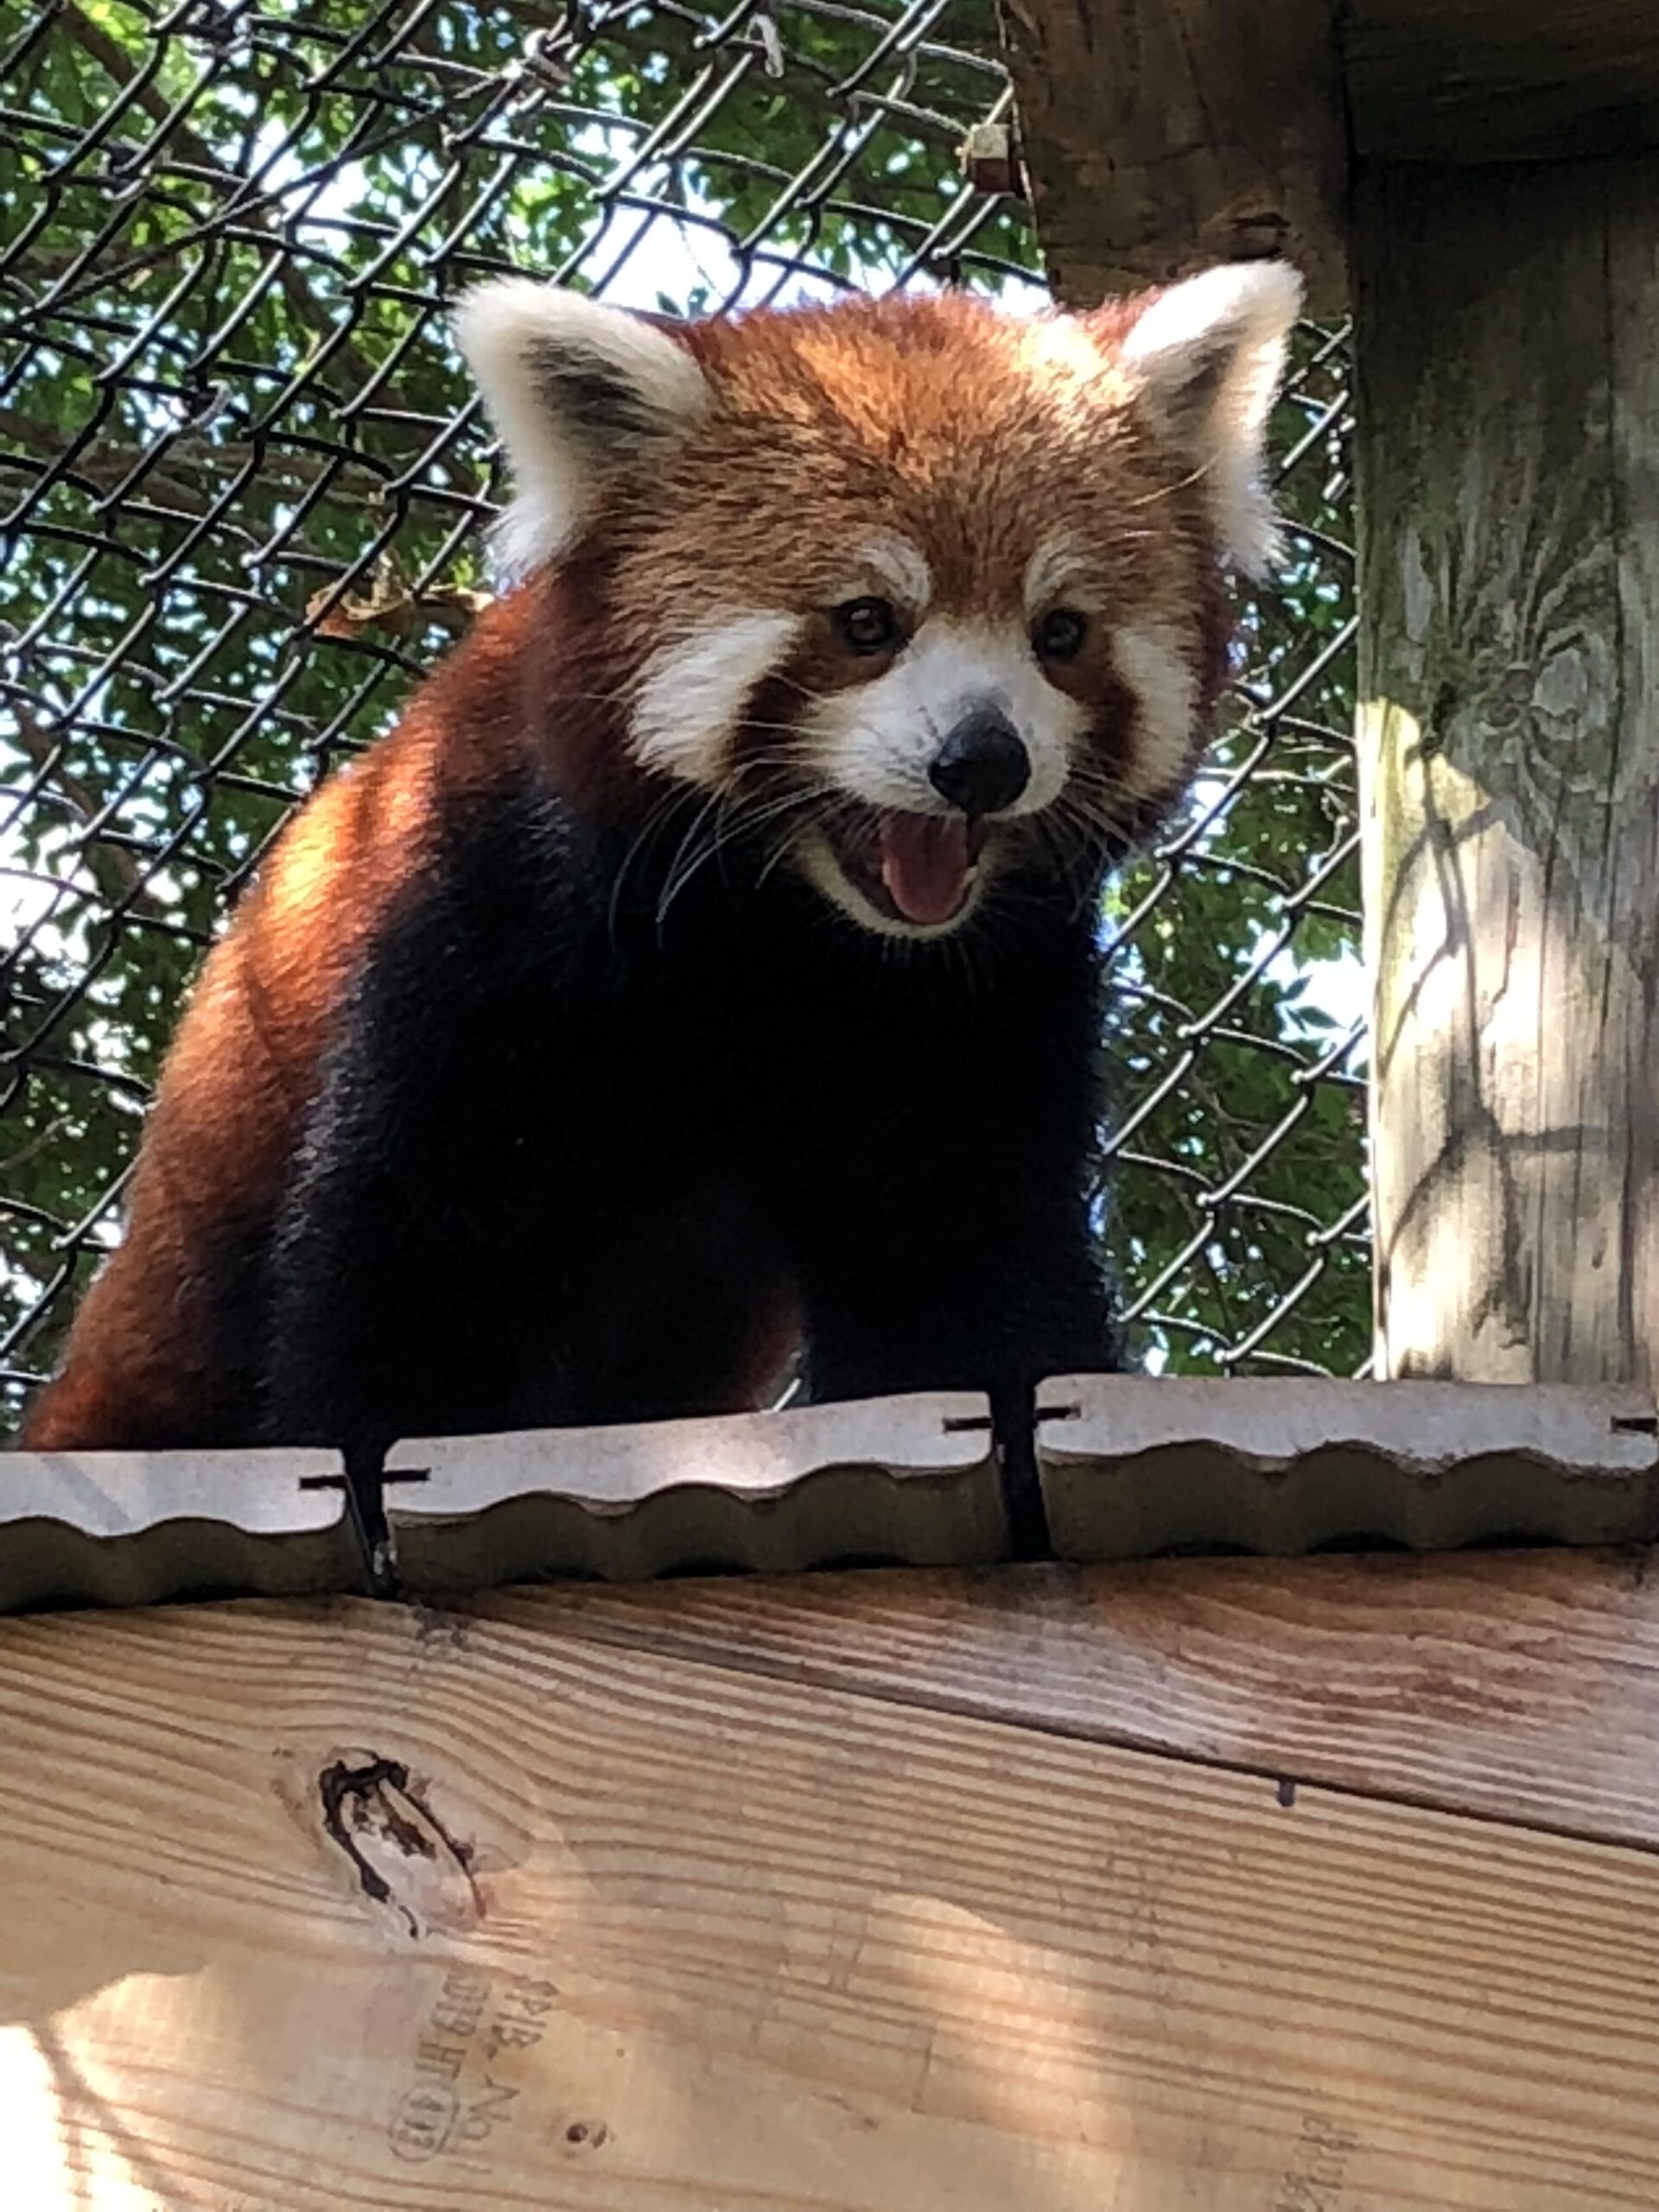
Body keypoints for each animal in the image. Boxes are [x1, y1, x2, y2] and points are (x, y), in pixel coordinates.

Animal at [19, 258, 1309, 1468]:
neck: (787, 927)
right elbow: (412, 1252)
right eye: (865, 623)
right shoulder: (492, 911)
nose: (983, 762)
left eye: (1061, 635)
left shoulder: (980, 1001)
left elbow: (957, 1249)